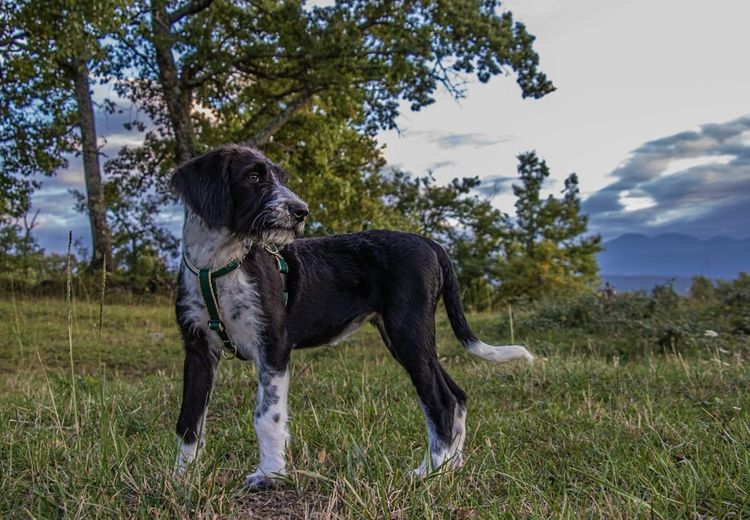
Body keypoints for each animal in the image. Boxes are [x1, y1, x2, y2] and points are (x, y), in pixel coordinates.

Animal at [172, 144, 536, 490]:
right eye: (253, 177)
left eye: (281, 177)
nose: (301, 211)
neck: (217, 265)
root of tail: (432, 243)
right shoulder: (198, 350)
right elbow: (189, 419)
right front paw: (181, 478)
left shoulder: (273, 347)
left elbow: (267, 417)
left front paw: (269, 475)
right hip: (405, 336)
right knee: (456, 394)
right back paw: (450, 466)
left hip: (408, 331)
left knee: (441, 400)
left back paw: (429, 472)